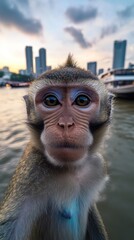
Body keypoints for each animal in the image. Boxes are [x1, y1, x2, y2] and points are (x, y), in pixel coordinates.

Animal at [0, 55, 111, 239]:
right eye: (51, 101)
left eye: (82, 101)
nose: (65, 124)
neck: (71, 168)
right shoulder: (31, 171)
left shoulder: (97, 165)